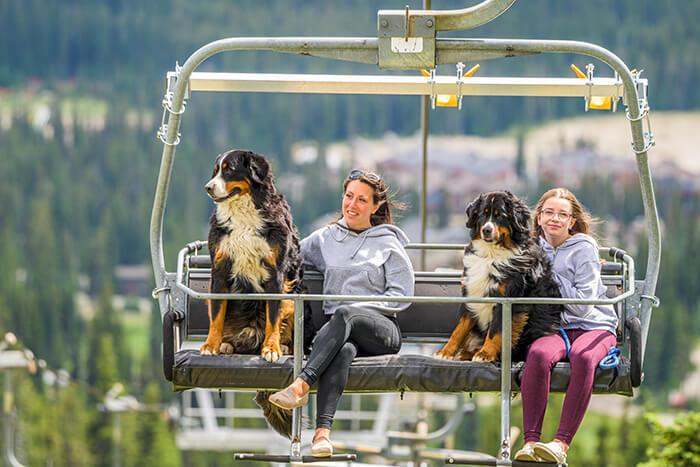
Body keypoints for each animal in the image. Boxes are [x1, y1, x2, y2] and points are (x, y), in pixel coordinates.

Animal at [432, 190, 564, 362]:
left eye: (500, 216)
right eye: (482, 214)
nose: (486, 230)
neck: (491, 254)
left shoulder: (508, 300)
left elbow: (496, 331)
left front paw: (485, 354)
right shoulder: (472, 291)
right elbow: (460, 328)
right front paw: (446, 351)